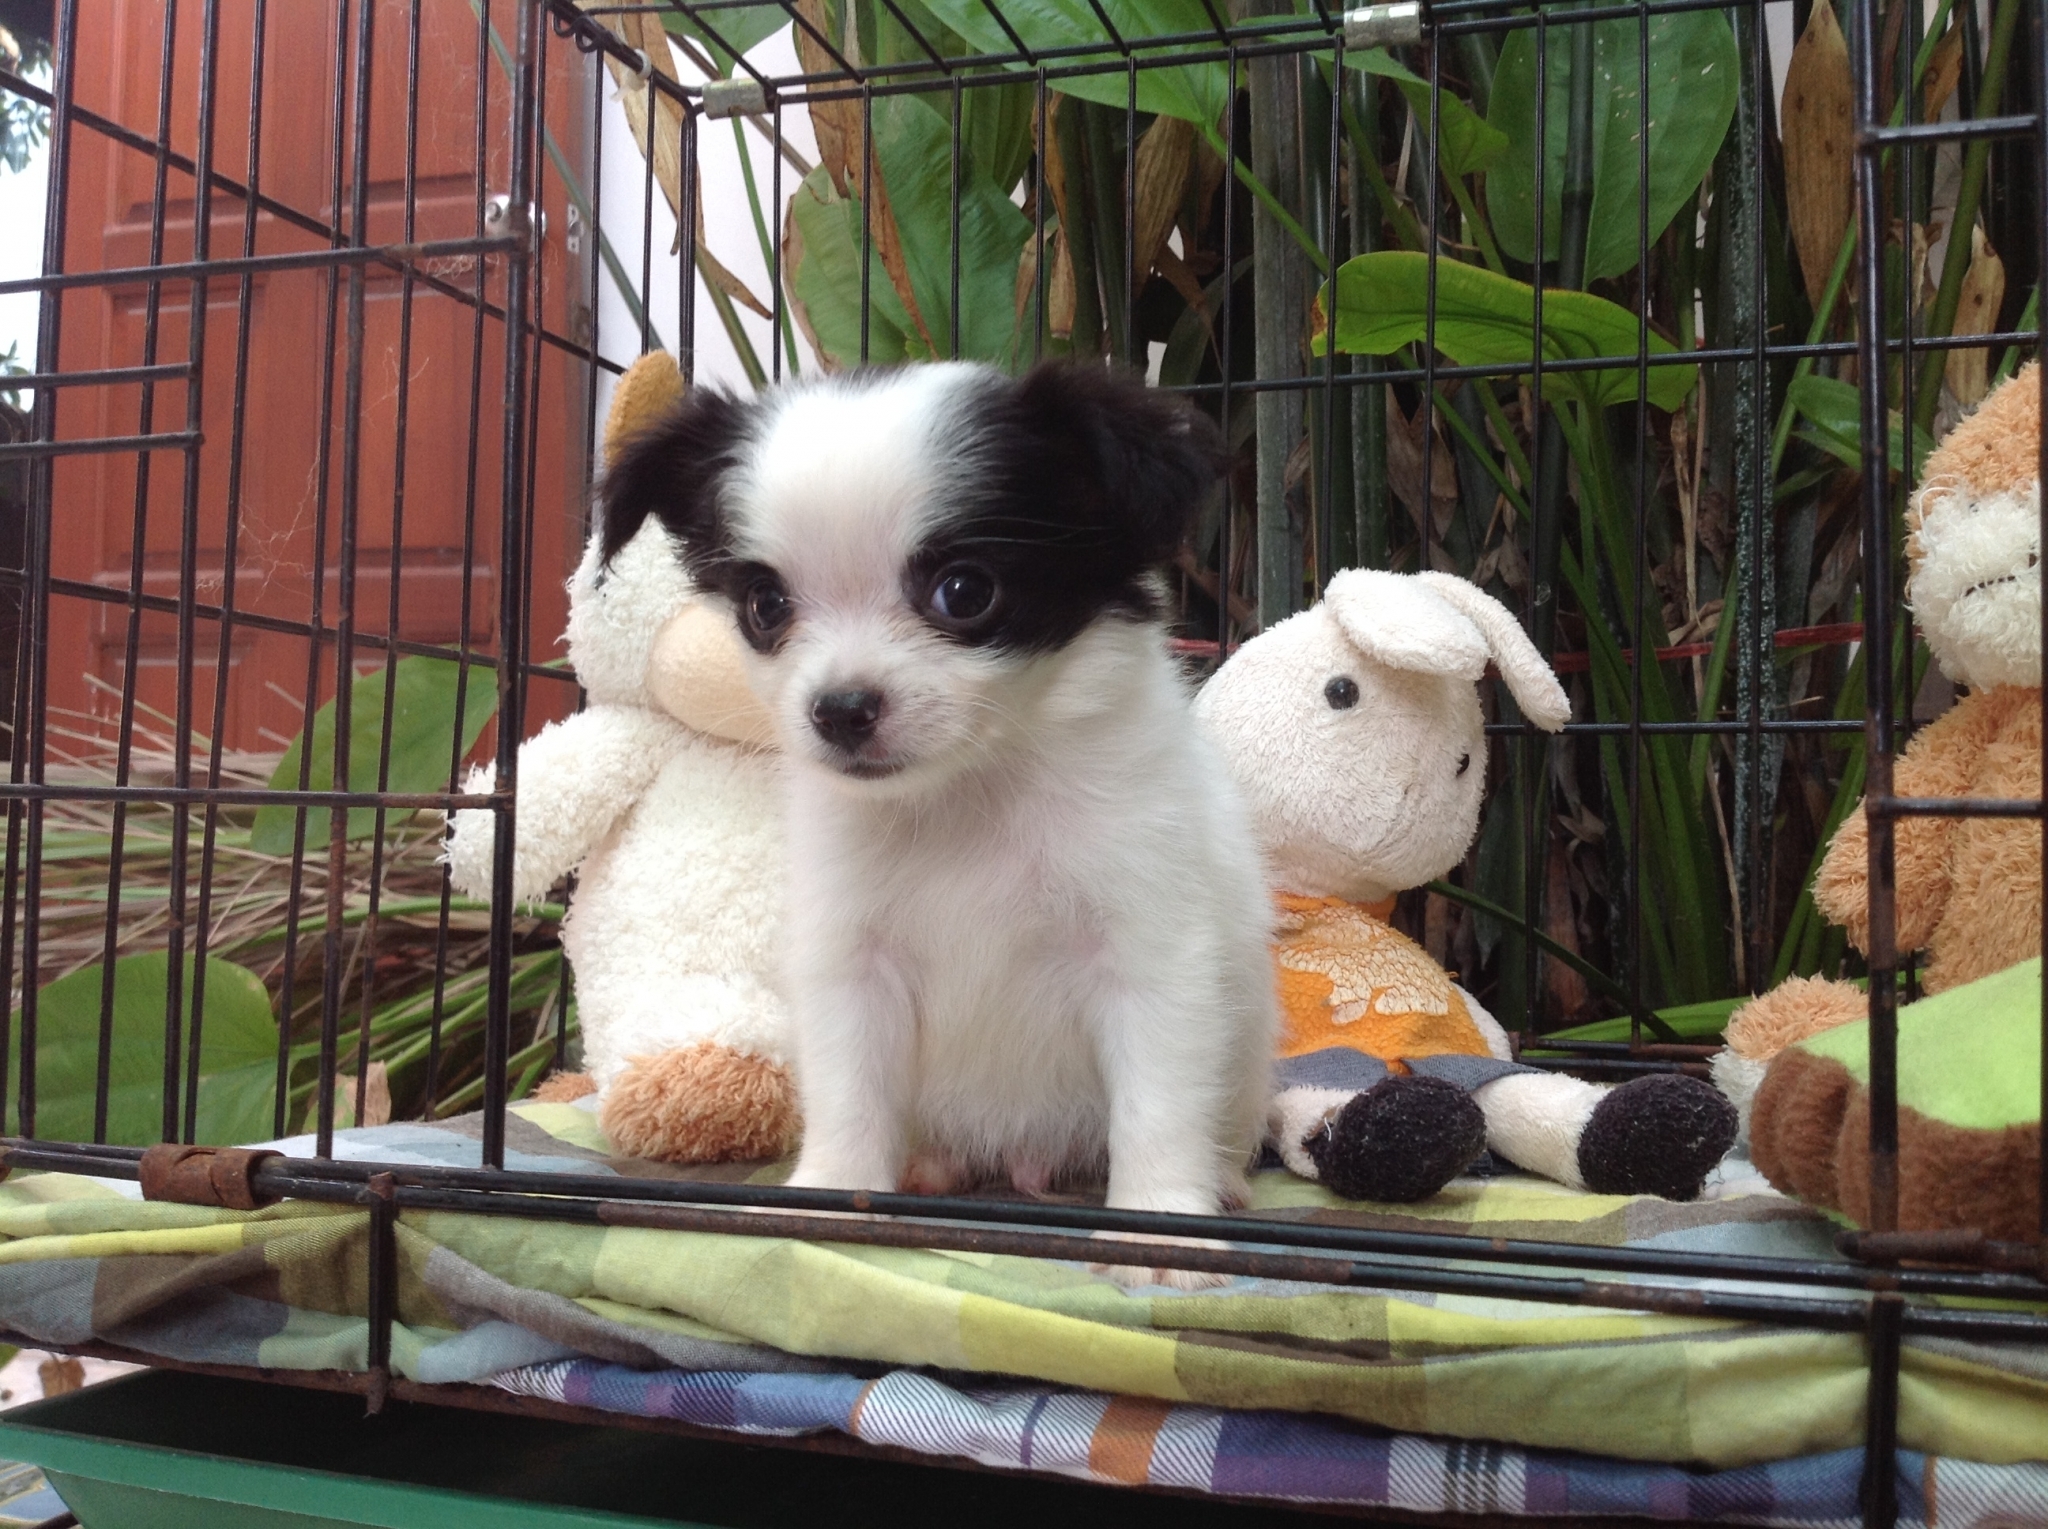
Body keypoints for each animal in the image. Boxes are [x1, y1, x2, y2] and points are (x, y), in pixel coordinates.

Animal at [597, 361, 1277, 1228]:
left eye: (964, 591)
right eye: (765, 607)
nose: (840, 709)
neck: (970, 792)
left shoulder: (1150, 949)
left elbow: (1157, 1101)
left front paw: (1160, 1218)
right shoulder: (853, 962)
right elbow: (850, 1091)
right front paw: (834, 1188)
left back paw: (1221, 1176)